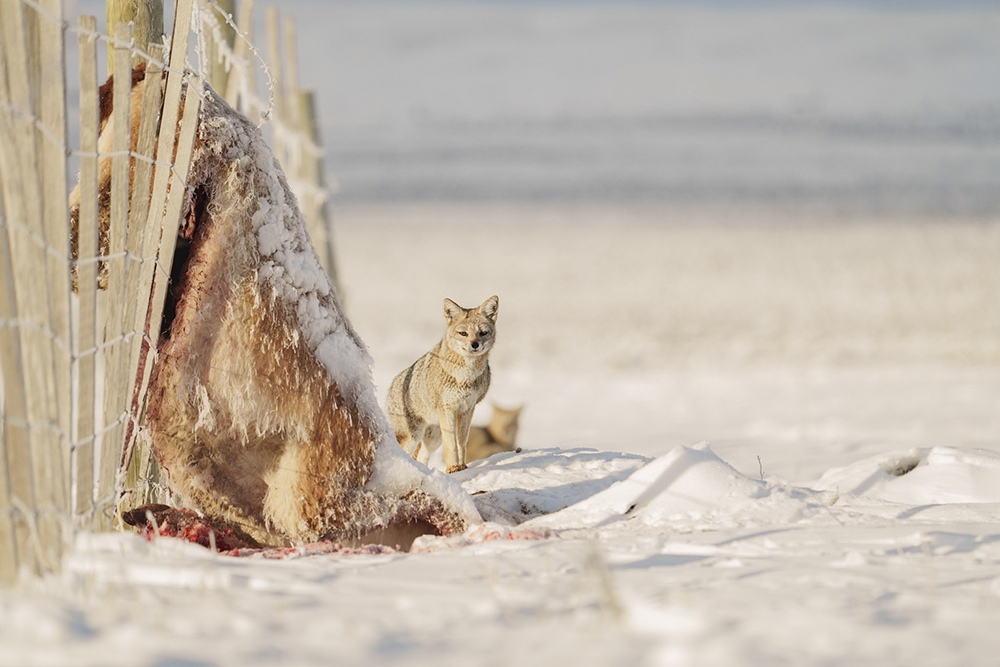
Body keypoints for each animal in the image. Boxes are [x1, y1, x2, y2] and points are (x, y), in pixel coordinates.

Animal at [387, 296, 499, 473]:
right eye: (463, 333)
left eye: (482, 333)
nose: (474, 344)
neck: (465, 376)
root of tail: (392, 384)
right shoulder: (448, 409)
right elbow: (451, 445)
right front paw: (453, 468)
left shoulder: (467, 409)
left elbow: (461, 443)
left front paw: (462, 467)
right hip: (412, 438)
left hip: (433, 439)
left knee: (421, 457)